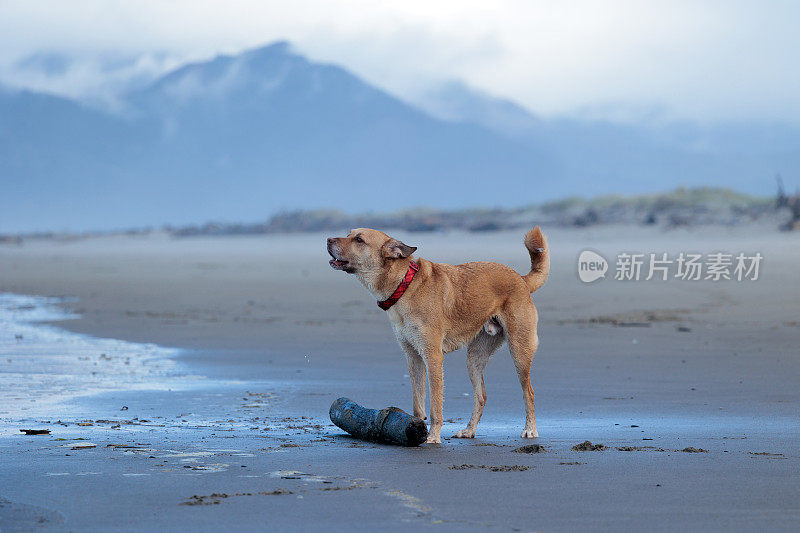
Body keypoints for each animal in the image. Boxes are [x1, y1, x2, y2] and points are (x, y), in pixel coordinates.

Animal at [326, 227, 552, 442]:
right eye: (349, 234)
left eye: (359, 240)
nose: (328, 240)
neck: (404, 284)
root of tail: (521, 279)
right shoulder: (413, 358)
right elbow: (418, 402)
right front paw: (415, 428)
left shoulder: (432, 357)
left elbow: (435, 405)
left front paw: (433, 437)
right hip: (474, 358)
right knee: (481, 396)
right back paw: (469, 431)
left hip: (519, 351)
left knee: (529, 392)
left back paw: (530, 429)